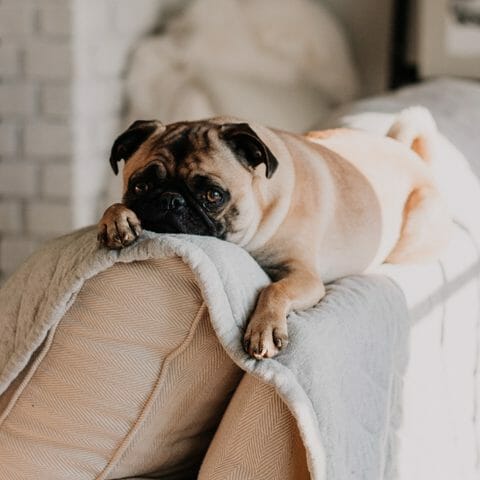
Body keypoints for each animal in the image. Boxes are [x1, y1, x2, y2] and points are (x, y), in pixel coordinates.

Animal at [97, 107, 450, 358]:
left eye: (213, 195)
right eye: (140, 186)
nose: (171, 200)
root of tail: (409, 153)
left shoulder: (305, 277)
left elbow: (274, 289)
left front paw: (264, 329)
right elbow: (113, 206)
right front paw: (116, 219)